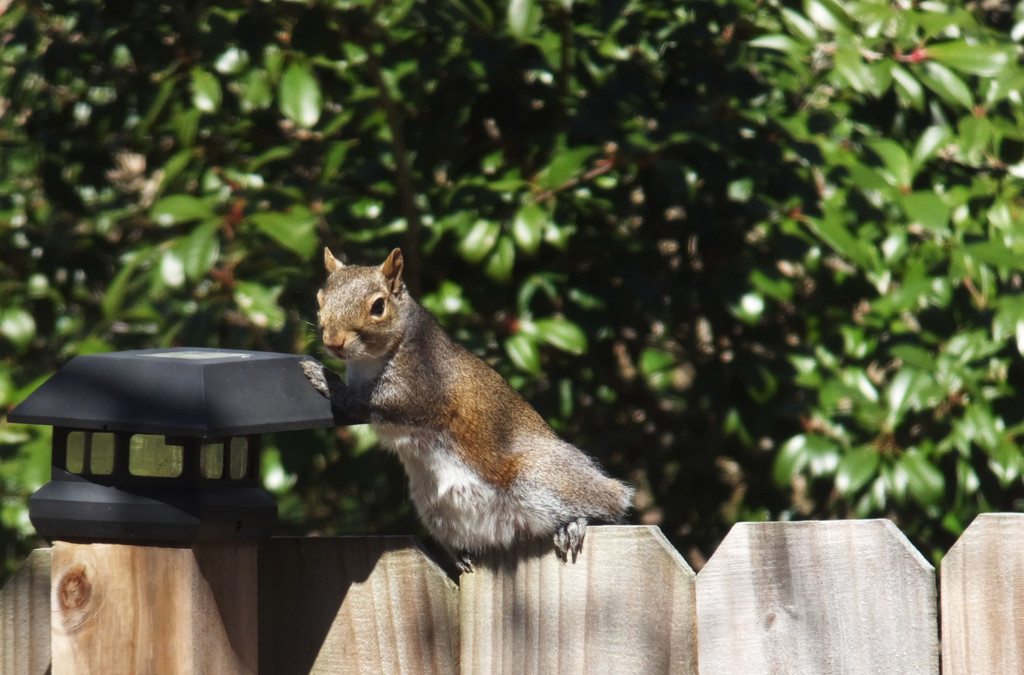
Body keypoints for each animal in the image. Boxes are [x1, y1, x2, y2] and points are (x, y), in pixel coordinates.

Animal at [299, 245, 630, 573]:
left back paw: (576, 523)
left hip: (539, 475)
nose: (333, 342)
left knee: (607, 505)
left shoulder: (424, 382)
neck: (369, 360)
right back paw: (462, 555)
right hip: (434, 508)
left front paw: (325, 380)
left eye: (378, 306)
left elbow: (369, 402)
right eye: (319, 299)